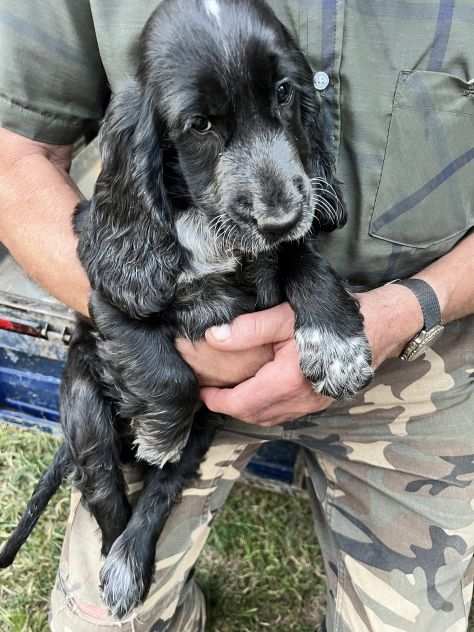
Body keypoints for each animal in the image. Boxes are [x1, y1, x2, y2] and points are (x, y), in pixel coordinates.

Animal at [0, 0, 374, 616]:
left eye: (284, 93)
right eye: (199, 125)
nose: (279, 216)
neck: (204, 220)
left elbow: (303, 259)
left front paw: (337, 347)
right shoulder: (105, 288)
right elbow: (163, 367)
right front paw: (159, 433)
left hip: (208, 429)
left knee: (161, 492)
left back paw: (131, 557)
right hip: (85, 414)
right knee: (109, 499)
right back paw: (121, 565)